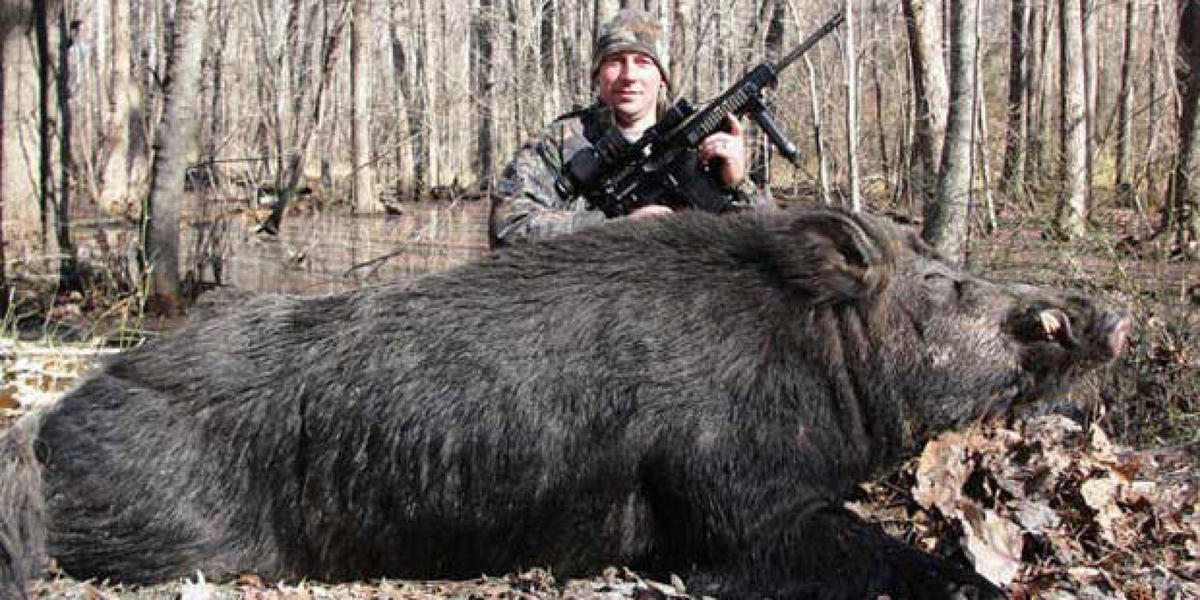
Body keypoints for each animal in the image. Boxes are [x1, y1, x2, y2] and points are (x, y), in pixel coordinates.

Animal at [0, 208, 1130, 599]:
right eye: (945, 283)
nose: (1107, 312)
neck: (811, 361)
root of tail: (45, 428)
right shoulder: (736, 496)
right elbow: (877, 557)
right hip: (167, 534)